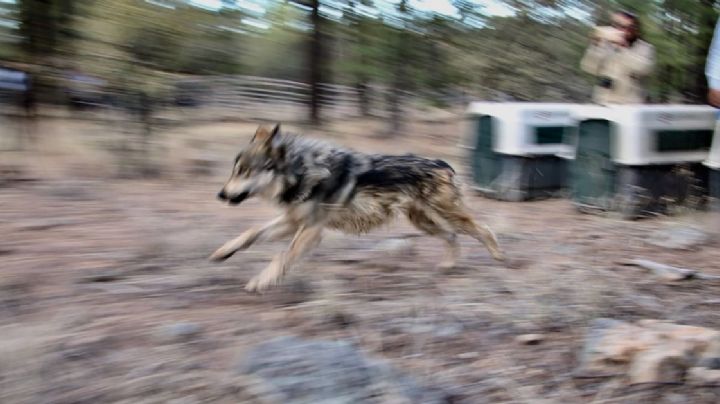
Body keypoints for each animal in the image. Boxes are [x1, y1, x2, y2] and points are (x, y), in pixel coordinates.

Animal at [211, 124, 504, 292]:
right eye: (235, 170)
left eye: (245, 171)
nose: (220, 194)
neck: (301, 171)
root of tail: (443, 163)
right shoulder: (292, 222)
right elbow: (250, 233)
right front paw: (223, 252)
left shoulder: (311, 230)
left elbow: (283, 256)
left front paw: (261, 281)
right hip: (424, 222)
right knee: (453, 238)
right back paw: (447, 266)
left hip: (447, 217)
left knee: (484, 229)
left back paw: (499, 258)